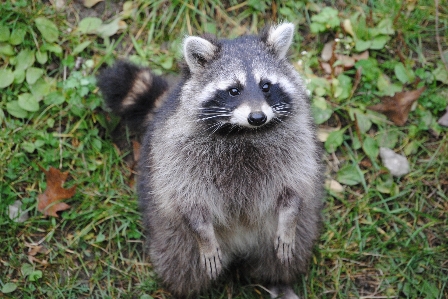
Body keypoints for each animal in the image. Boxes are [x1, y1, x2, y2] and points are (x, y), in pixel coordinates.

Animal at [97, 22, 322, 298]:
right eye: (234, 90)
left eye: (266, 86)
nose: (257, 117)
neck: (243, 132)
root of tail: (240, 246)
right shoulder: (177, 151)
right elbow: (188, 197)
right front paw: (202, 232)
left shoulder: (296, 139)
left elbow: (295, 184)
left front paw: (288, 218)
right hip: (171, 233)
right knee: (181, 265)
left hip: (293, 230)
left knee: (285, 255)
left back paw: (278, 280)